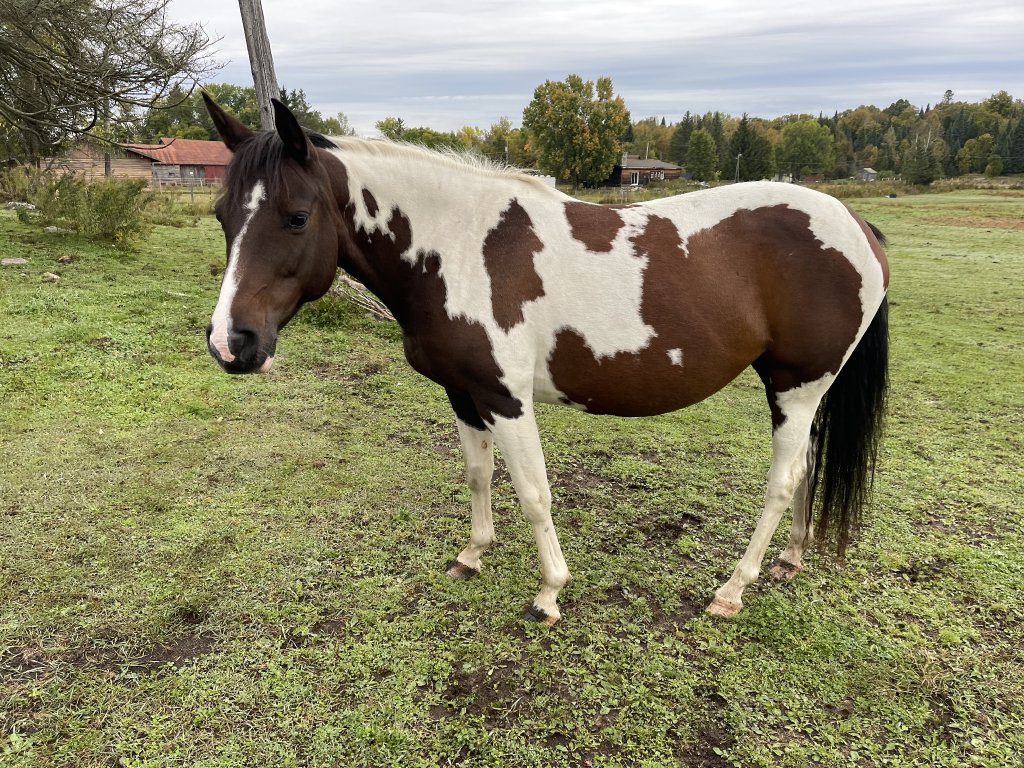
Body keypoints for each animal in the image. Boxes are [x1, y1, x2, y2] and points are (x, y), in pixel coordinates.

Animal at [202, 94, 889, 624]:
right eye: (222, 215)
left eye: (296, 217)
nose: (232, 344)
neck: (455, 249)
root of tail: (856, 223)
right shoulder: (464, 394)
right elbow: (479, 476)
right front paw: (472, 555)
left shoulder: (508, 400)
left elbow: (534, 492)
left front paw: (549, 594)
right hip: (795, 389)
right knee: (805, 468)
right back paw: (789, 560)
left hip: (797, 386)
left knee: (782, 481)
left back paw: (732, 590)